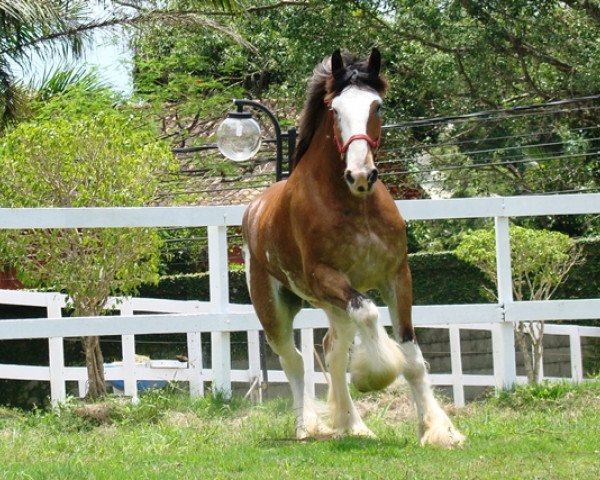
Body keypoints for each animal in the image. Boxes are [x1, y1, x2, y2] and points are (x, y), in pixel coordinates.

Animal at [243, 48, 464, 446]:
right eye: (334, 110)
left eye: (377, 106)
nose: (360, 175)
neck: (355, 204)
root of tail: (254, 209)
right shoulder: (327, 278)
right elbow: (369, 314)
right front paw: (374, 374)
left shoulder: (397, 276)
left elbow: (411, 355)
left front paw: (439, 429)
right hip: (276, 308)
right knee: (295, 359)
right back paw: (308, 426)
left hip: (331, 304)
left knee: (331, 349)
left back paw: (352, 424)